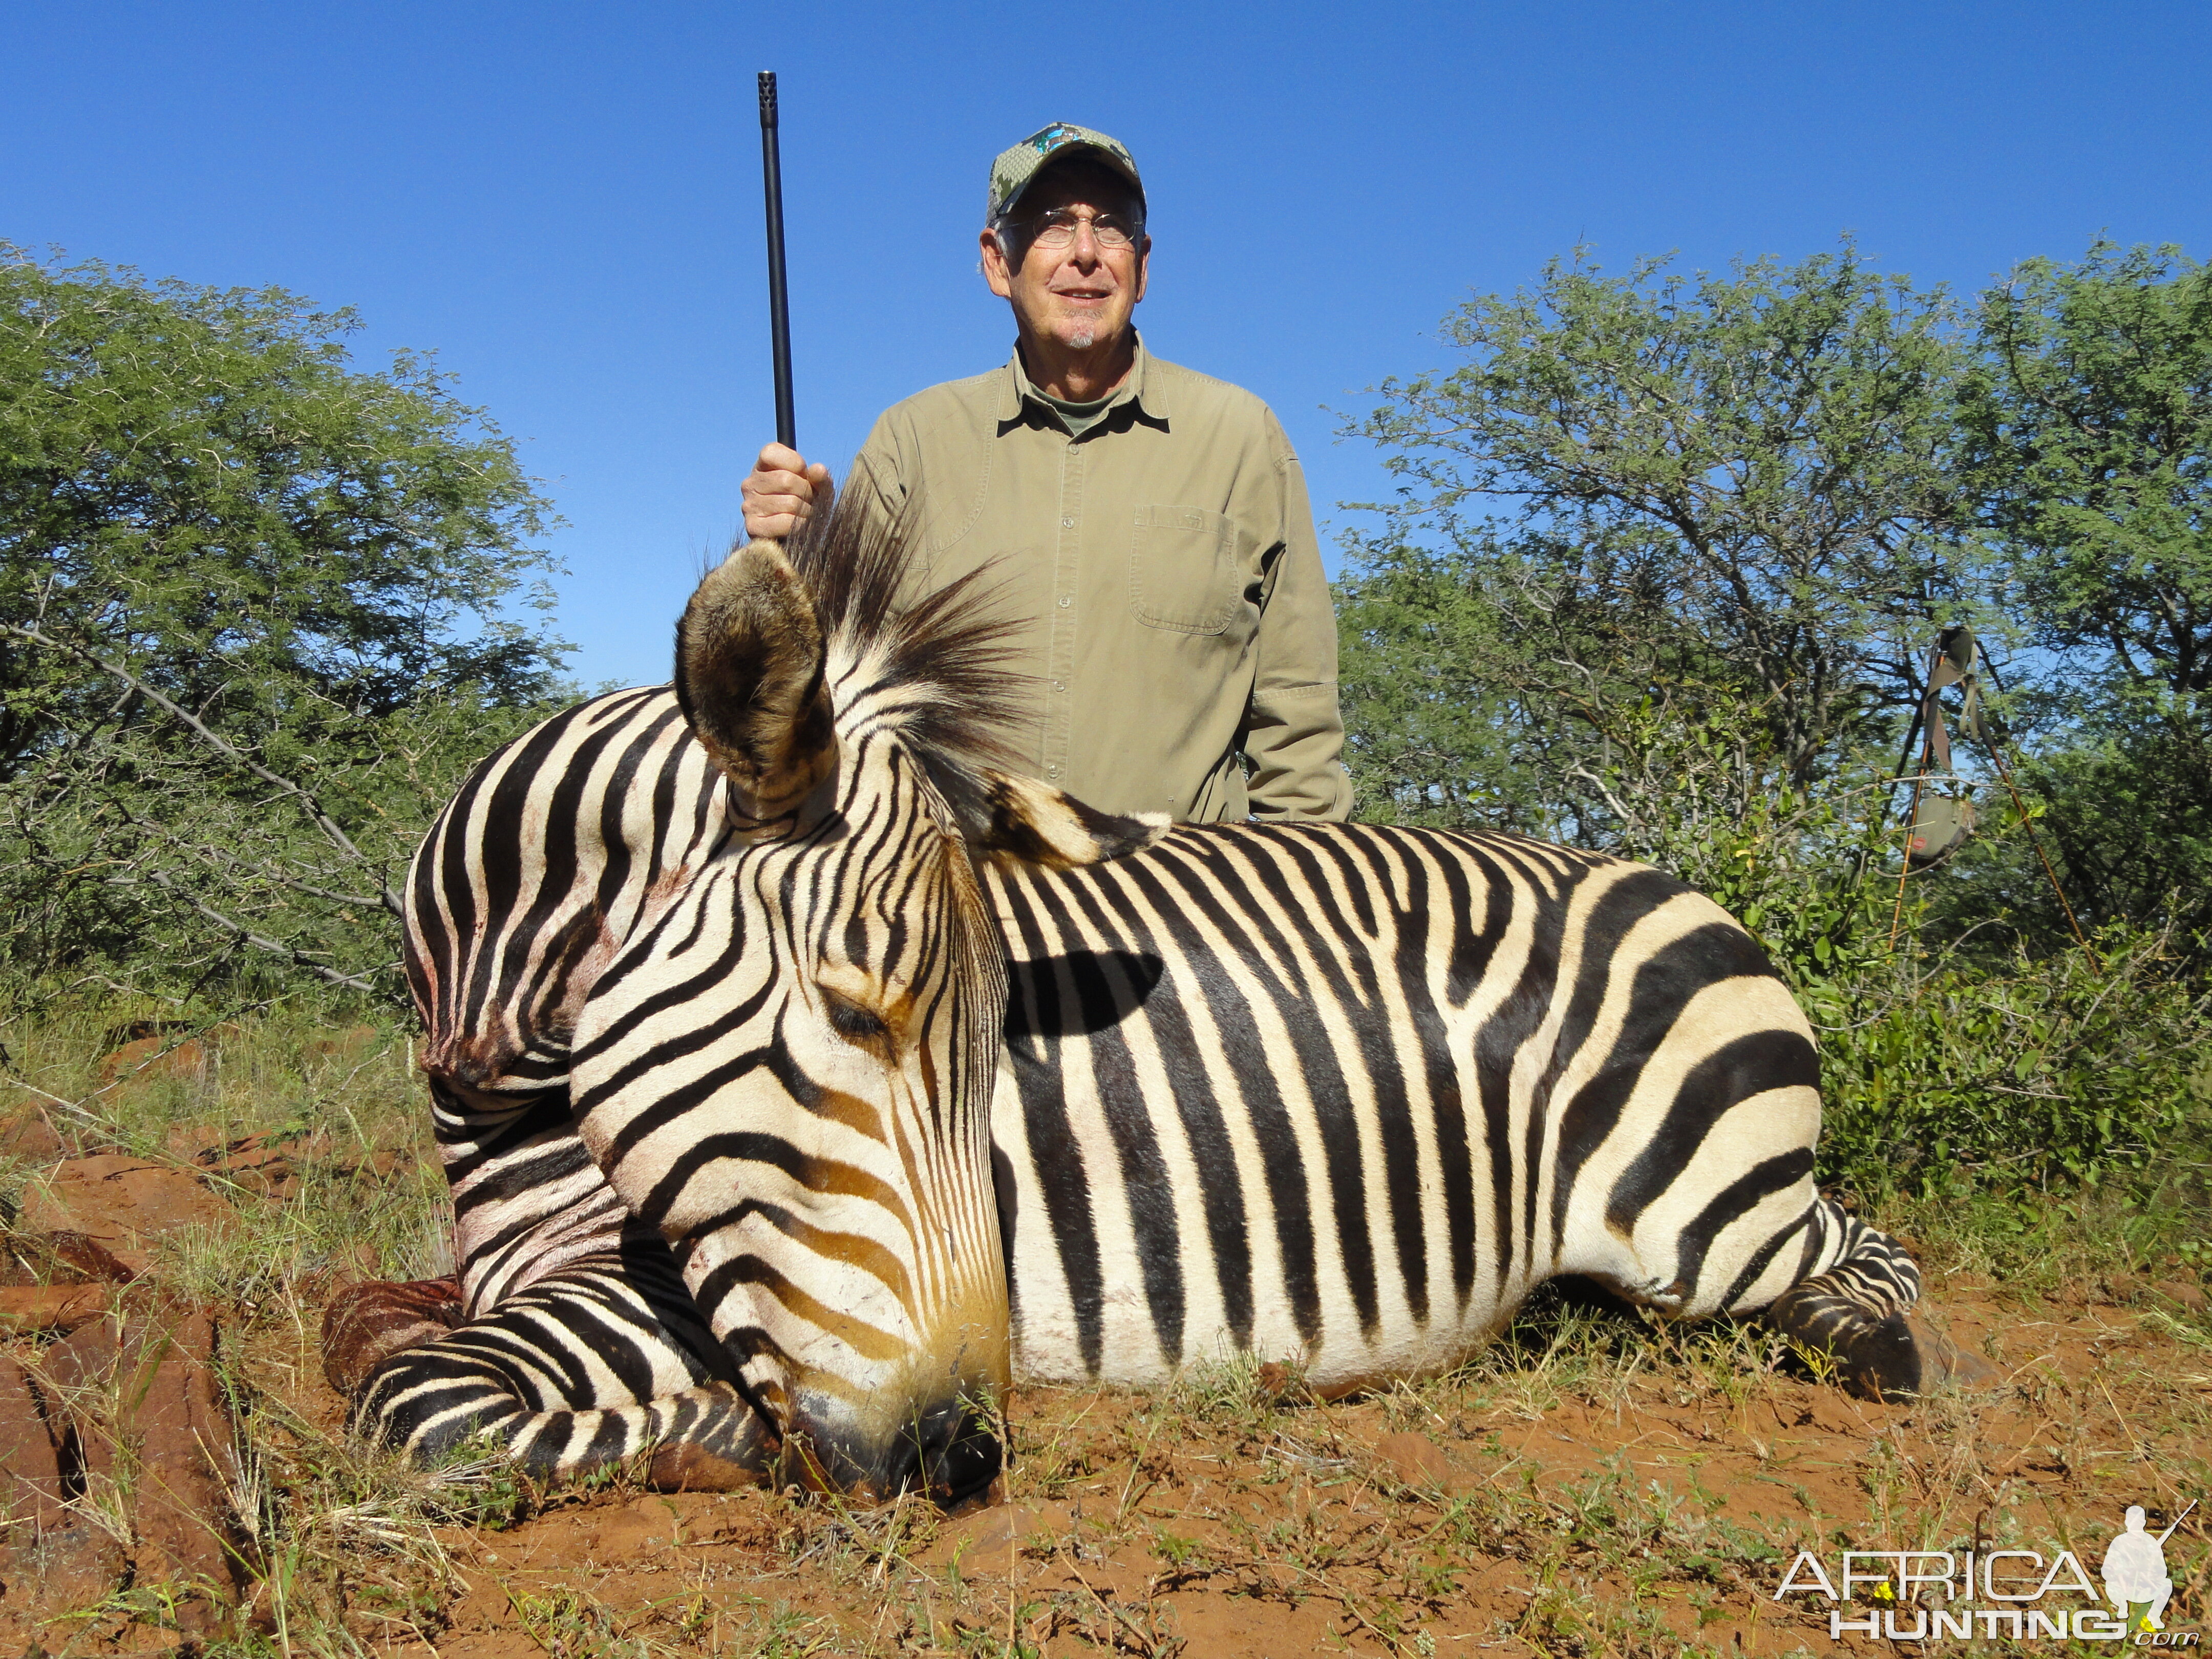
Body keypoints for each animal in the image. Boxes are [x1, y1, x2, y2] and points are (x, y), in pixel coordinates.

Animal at [336, 491, 1982, 1504]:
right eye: (858, 1015)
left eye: (995, 1048)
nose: (960, 1454)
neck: (499, 1101)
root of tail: (1692, 892)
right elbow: (382, 1332)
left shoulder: (663, 1300)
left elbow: (409, 1397)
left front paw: (710, 1437)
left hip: (1705, 1213)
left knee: (1867, 1253)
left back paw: (1880, 1352)